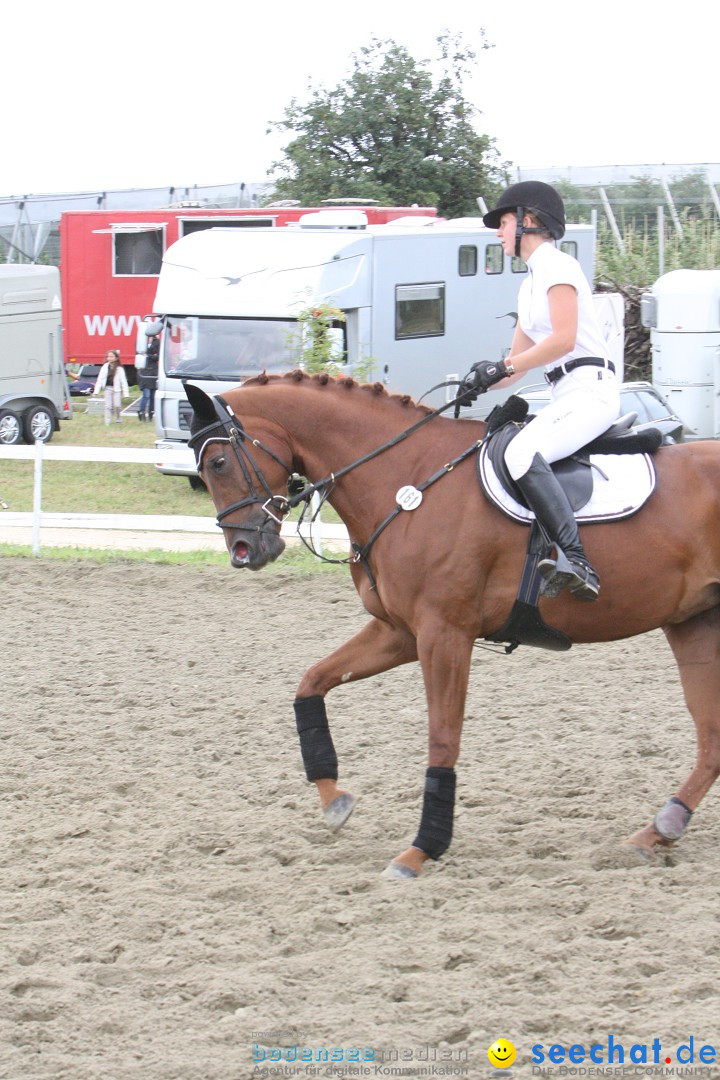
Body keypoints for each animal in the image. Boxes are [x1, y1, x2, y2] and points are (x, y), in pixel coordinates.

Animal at [184, 371, 720, 876]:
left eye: (218, 463)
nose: (243, 551)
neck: (407, 479)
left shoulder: (445, 634)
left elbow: (443, 738)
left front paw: (421, 850)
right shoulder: (401, 632)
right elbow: (312, 682)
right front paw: (334, 799)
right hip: (694, 624)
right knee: (711, 739)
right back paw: (659, 830)